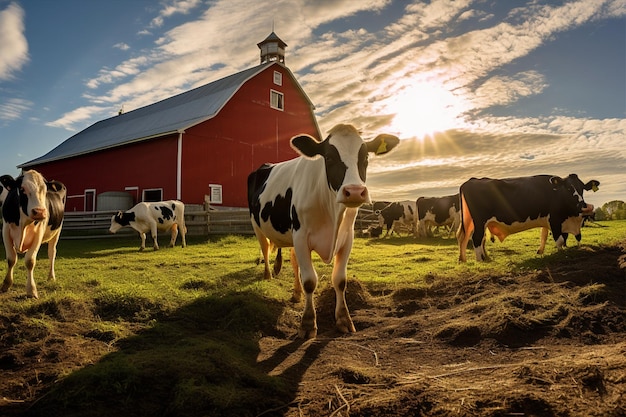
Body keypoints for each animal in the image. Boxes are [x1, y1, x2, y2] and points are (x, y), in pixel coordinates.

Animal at [246, 123, 398, 338]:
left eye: (365, 158)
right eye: (329, 158)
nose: (354, 191)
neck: (332, 213)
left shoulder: (347, 238)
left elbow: (340, 280)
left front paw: (344, 320)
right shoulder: (301, 236)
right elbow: (310, 280)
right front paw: (308, 324)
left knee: (293, 260)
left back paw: (297, 293)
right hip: (256, 224)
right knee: (266, 250)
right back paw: (268, 275)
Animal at [456, 174, 596, 262]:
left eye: (582, 188)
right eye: (568, 188)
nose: (583, 205)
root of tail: (472, 180)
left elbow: (544, 235)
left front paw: (540, 251)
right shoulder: (555, 219)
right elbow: (560, 240)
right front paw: (560, 254)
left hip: (470, 221)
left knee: (465, 237)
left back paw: (465, 259)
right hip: (480, 222)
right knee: (476, 238)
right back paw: (480, 260)